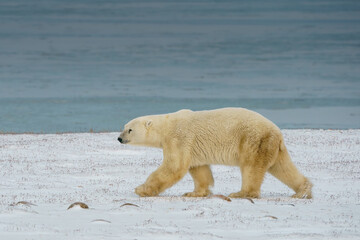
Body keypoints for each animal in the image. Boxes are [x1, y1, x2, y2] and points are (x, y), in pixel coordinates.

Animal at [118, 108, 312, 199]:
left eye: (129, 129)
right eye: (123, 127)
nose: (119, 138)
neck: (166, 126)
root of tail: (277, 133)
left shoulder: (179, 138)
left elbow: (174, 167)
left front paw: (141, 189)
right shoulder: (192, 147)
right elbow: (199, 169)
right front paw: (194, 193)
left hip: (254, 140)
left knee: (251, 168)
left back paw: (241, 193)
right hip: (271, 146)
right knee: (283, 167)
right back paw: (303, 191)